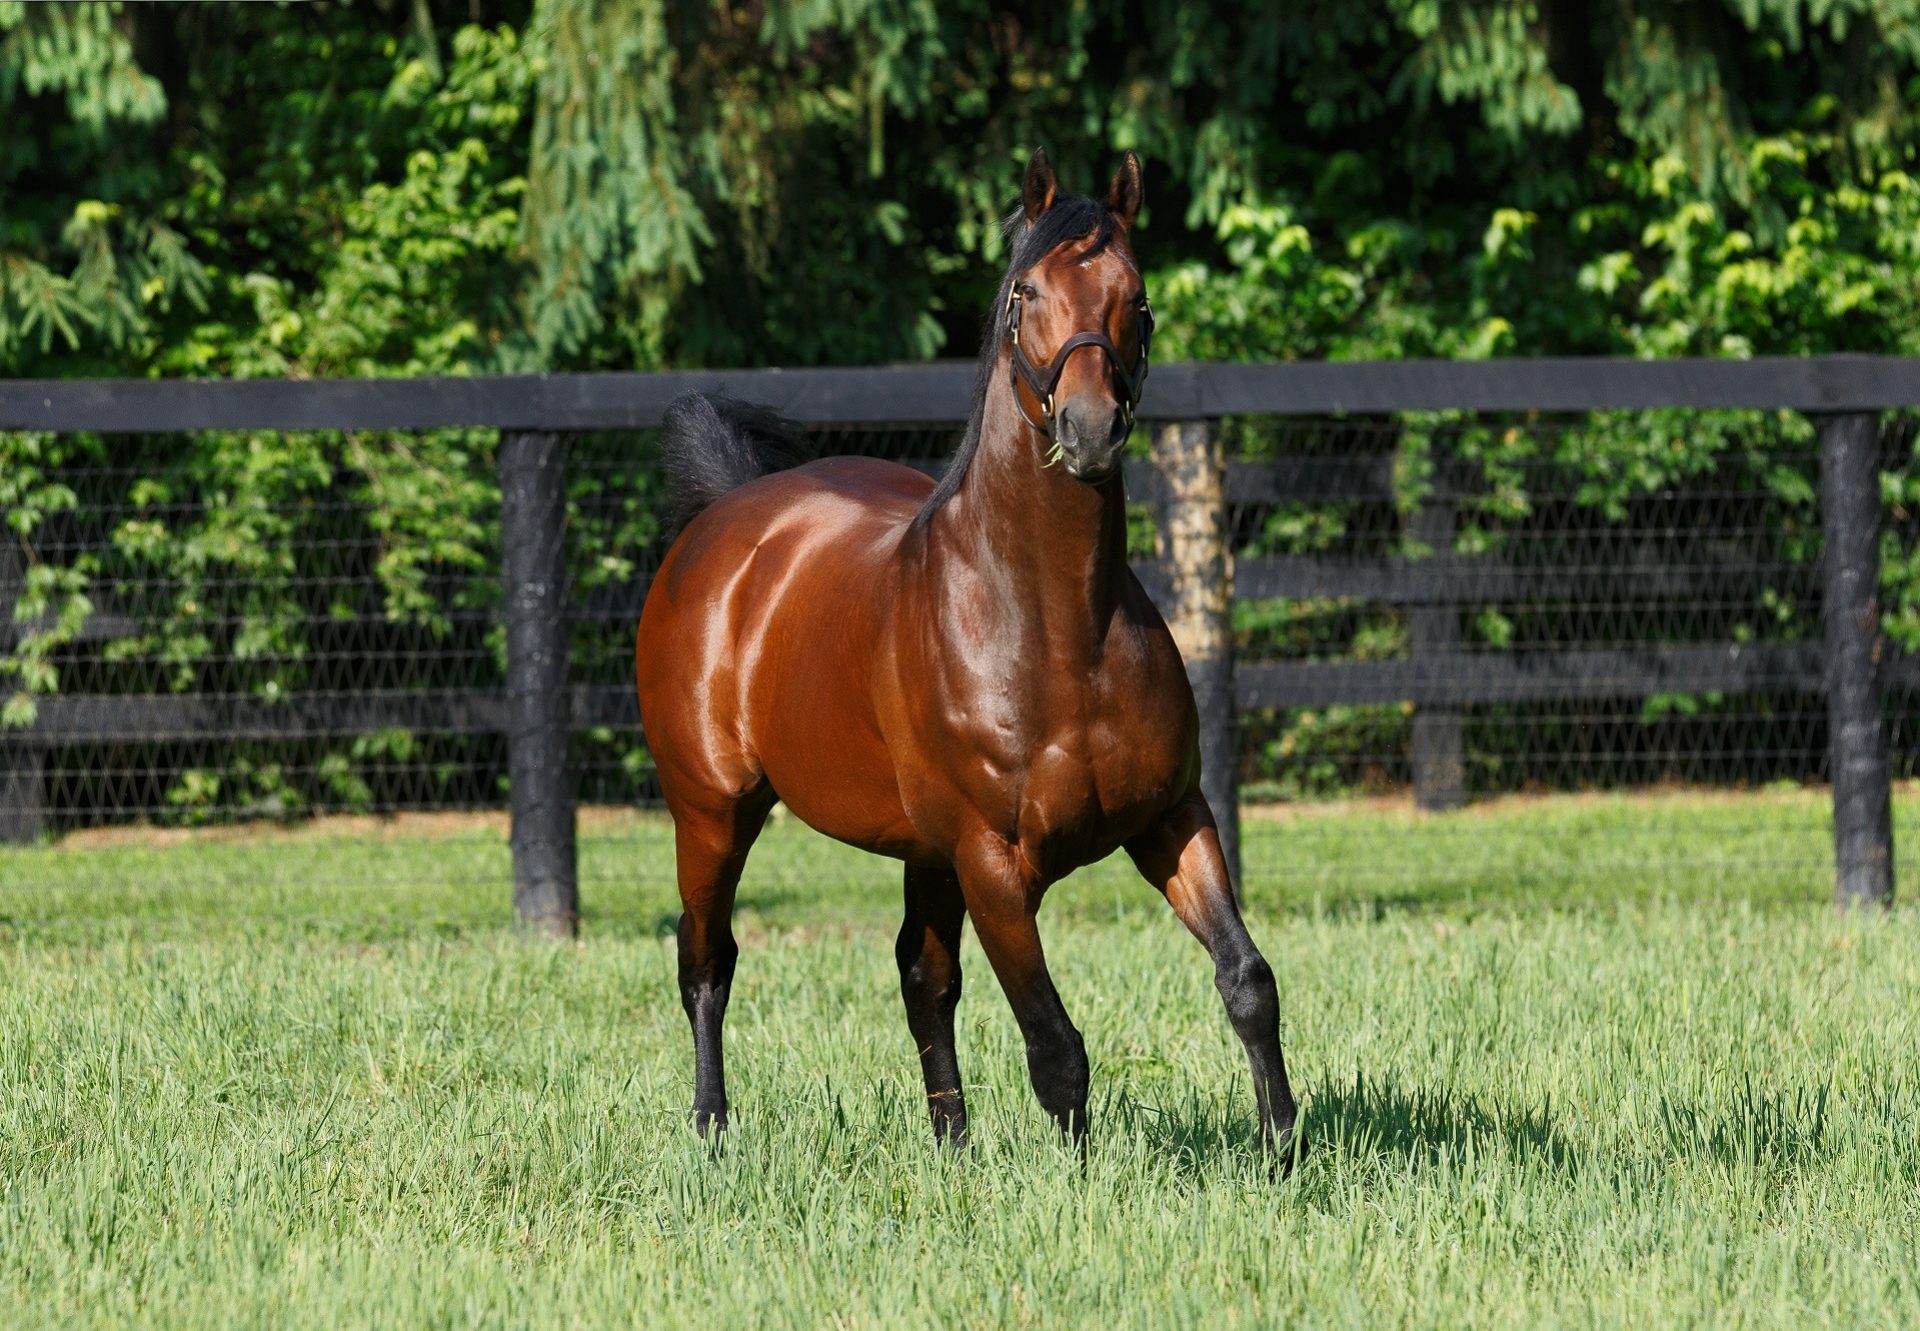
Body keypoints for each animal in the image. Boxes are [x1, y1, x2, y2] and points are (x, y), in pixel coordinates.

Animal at [637, 150, 1297, 1160]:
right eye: (1027, 292)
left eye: (1136, 297)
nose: (1090, 428)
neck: (1056, 631)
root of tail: (726, 518)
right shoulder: (993, 861)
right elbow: (1055, 1045)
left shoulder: (1172, 818)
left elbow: (1247, 981)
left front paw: (1285, 1147)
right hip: (712, 813)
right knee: (707, 961)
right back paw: (711, 1130)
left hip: (922, 849)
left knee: (921, 976)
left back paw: (949, 1144)